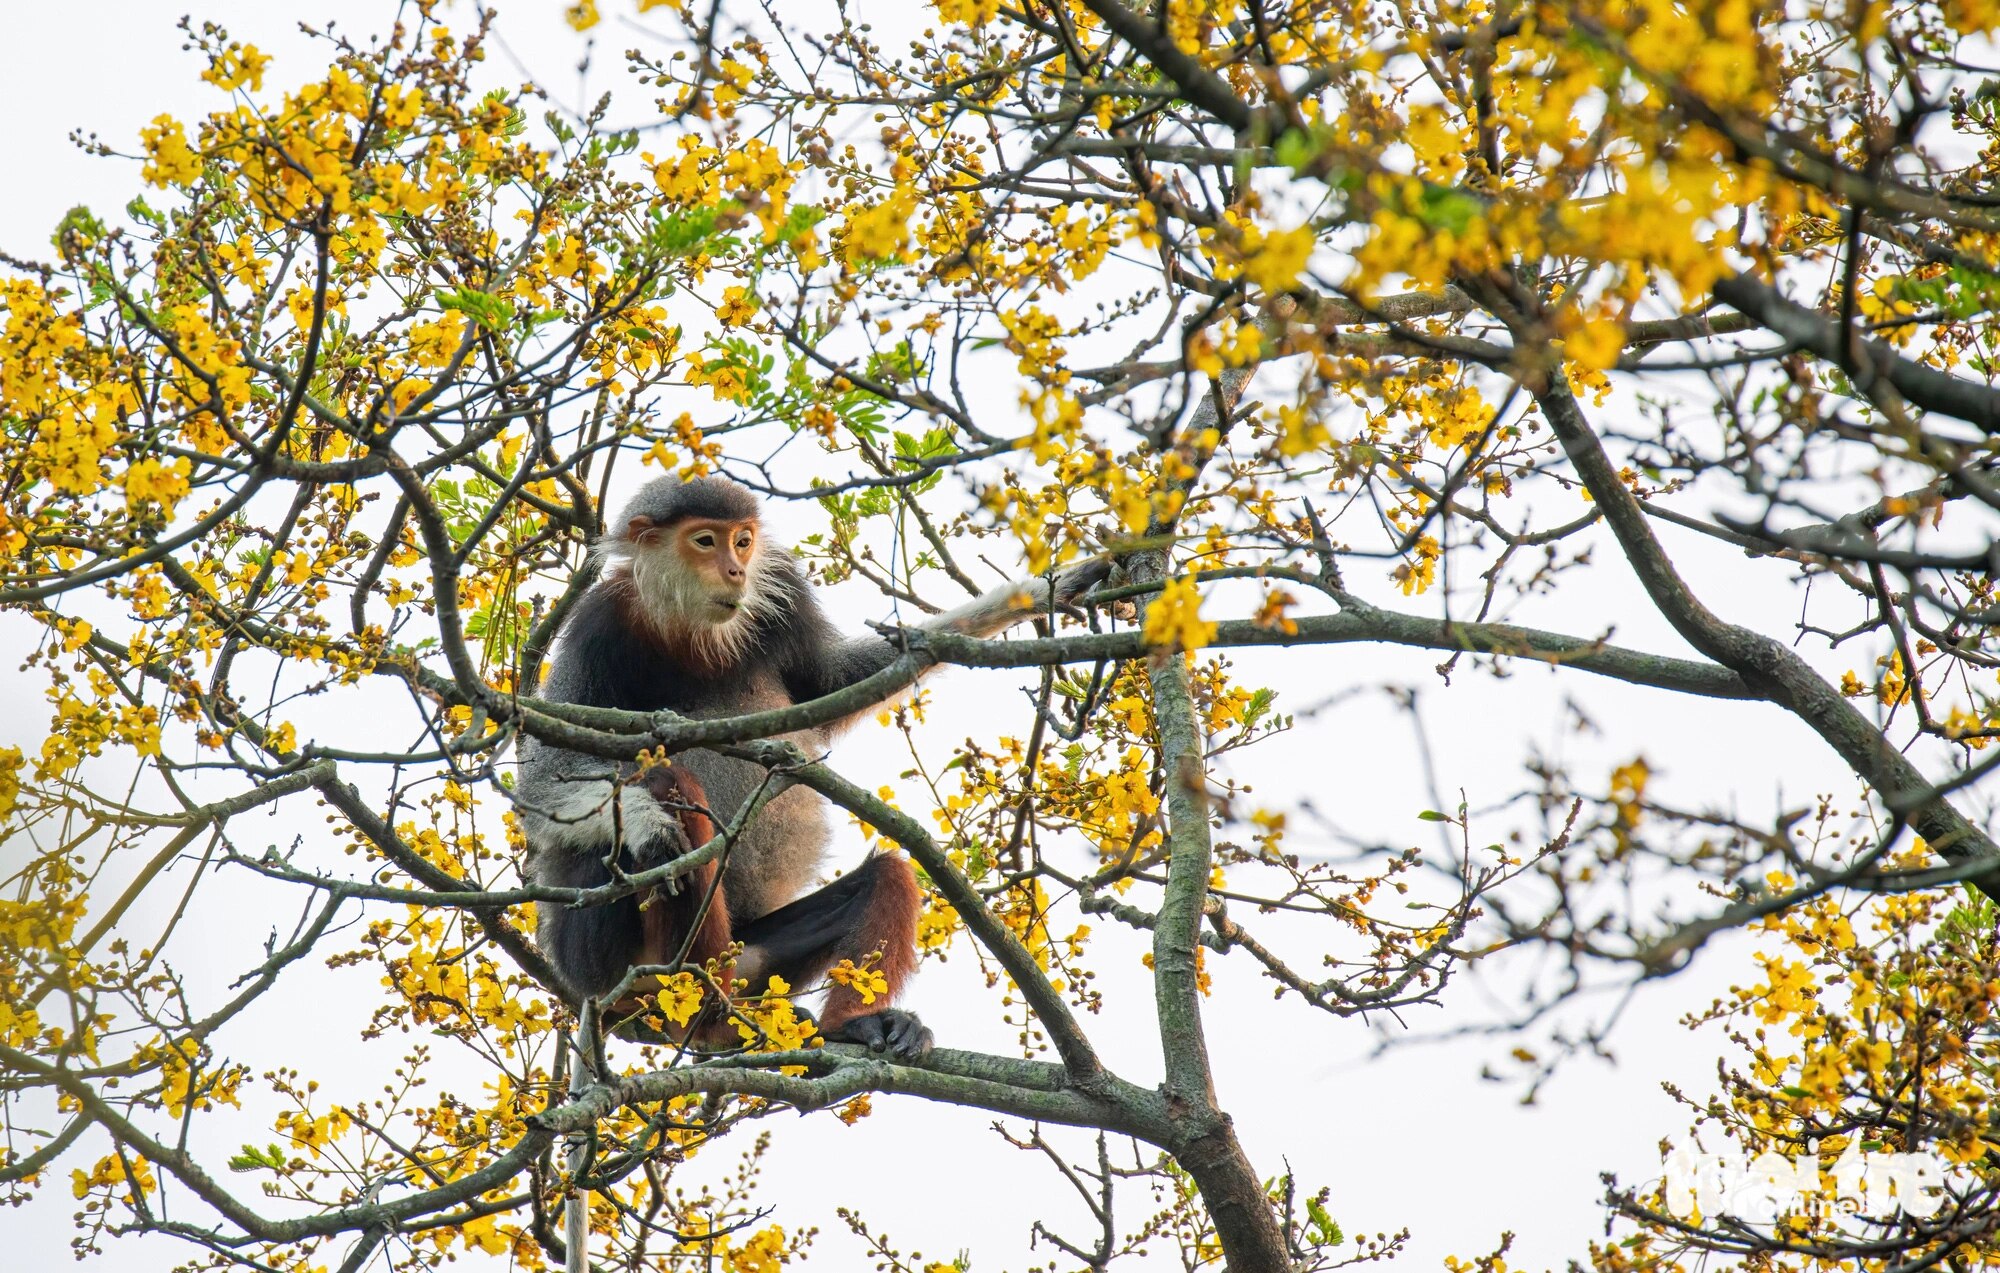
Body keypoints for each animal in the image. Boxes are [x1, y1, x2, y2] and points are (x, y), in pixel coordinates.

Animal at [516, 472, 1112, 1056]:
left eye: (743, 541)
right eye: (704, 541)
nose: (735, 570)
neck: (690, 628)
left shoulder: (784, 595)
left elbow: (839, 681)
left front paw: (1054, 585)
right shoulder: (599, 625)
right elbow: (541, 785)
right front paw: (646, 824)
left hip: (758, 956)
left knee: (888, 873)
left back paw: (850, 1023)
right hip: (597, 961)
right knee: (664, 784)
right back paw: (696, 1002)